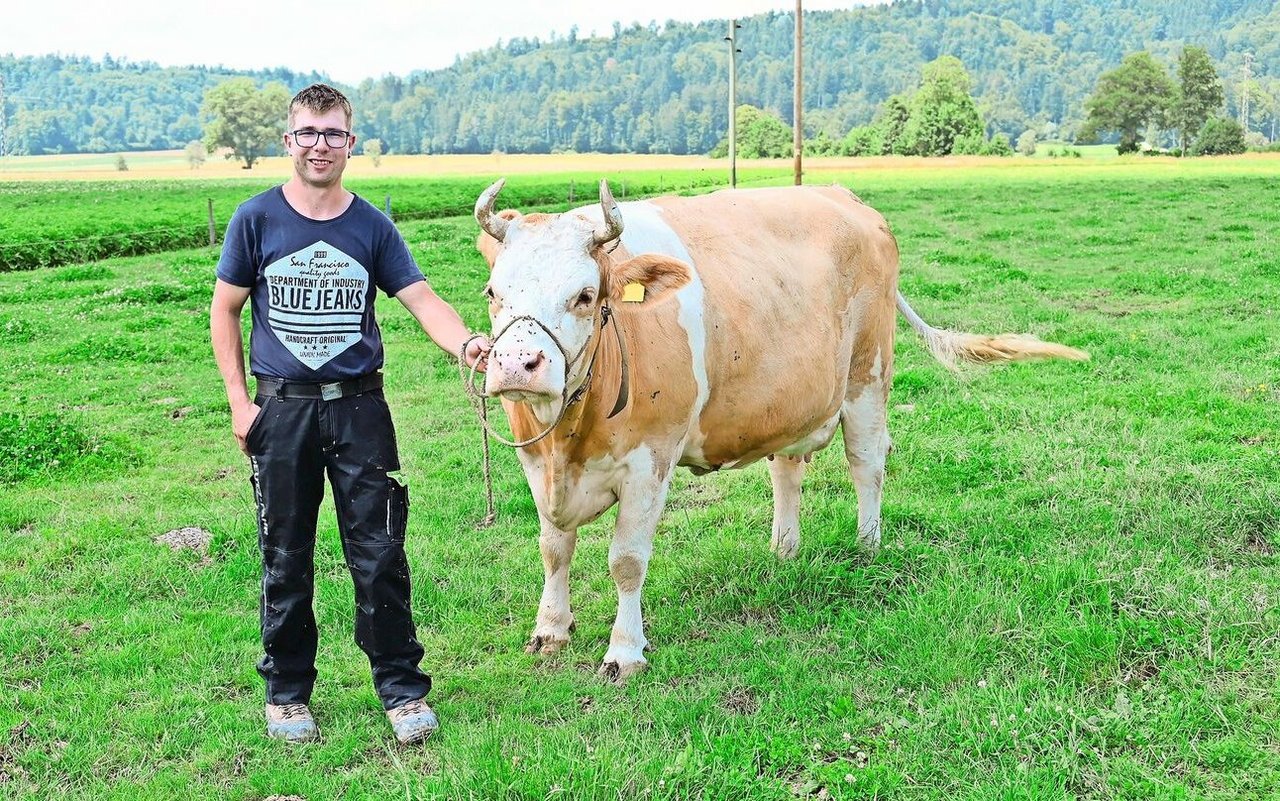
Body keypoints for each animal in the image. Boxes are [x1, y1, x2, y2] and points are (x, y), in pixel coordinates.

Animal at [473, 179, 1090, 680]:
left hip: (868, 375)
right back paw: (785, 550)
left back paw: (867, 545)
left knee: (867, 464)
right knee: (788, 471)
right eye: (493, 293)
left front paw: (624, 652)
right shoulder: (537, 465)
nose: (517, 364)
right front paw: (550, 628)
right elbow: (554, 547)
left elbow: (626, 561)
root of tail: (844, 197)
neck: (569, 439)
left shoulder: (651, 460)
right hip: (790, 399)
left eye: (585, 295)